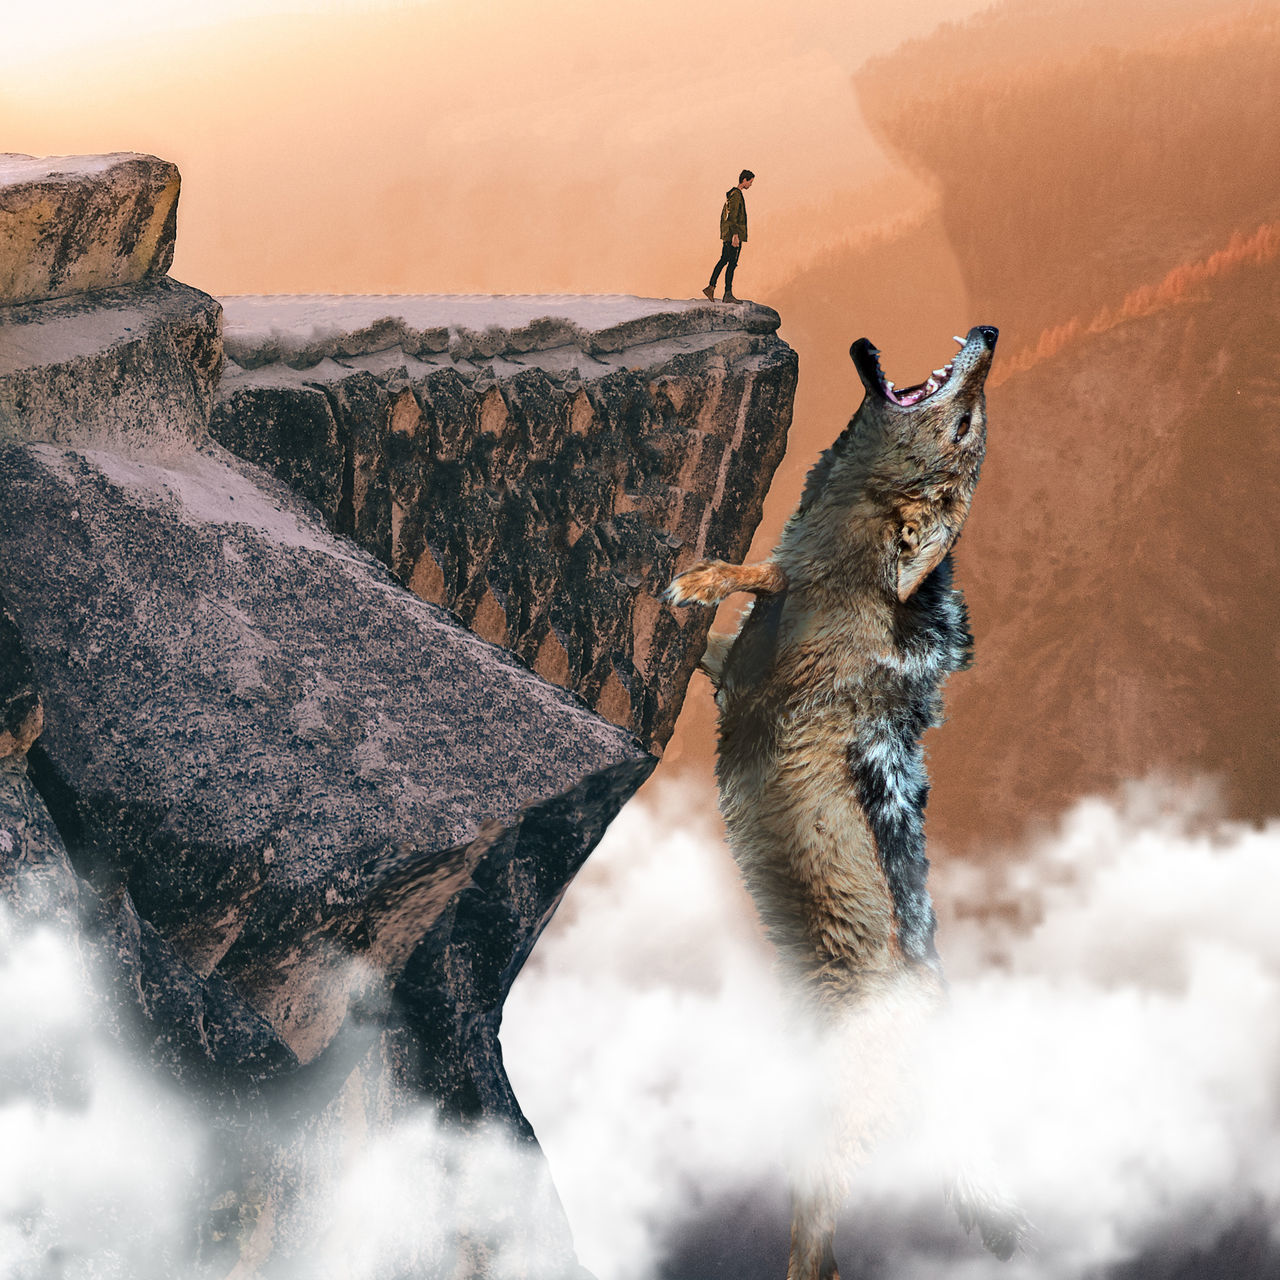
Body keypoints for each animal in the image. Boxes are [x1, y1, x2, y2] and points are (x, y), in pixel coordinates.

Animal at [660, 327, 1018, 1280]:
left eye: (965, 427)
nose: (989, 335)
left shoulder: (760, 671)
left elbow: (759, 576)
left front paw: (698, 578)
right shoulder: (734, 675)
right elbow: (744, 606)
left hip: (825, 1143)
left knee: (819, 1252)